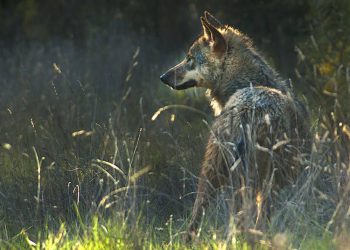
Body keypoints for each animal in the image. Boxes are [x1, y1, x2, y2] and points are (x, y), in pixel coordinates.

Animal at [160, 11, 310, 238]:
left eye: (189, 59)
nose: (162, 77)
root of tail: (246, 111)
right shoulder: (277, 185)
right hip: (251, 181)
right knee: (248, 220)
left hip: (213, 176)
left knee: (196, 220)